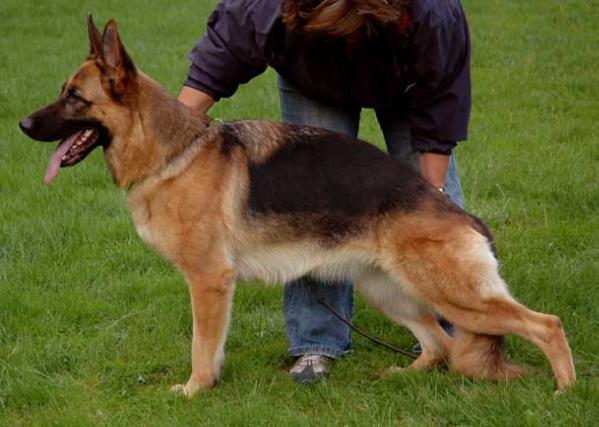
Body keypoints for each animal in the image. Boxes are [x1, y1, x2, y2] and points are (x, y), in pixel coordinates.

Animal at [19, 16, 576, 398]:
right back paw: (404, 374)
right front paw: (208, 385)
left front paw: (194, 390)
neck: (172, 154)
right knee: (439, 344)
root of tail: (460, 215)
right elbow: (211, 346)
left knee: (544, 324)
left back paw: (566, 390)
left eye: (74, 97)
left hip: (451, 293)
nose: (23, 125)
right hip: (386, 291)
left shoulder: (209, 281)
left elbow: (201, 345)